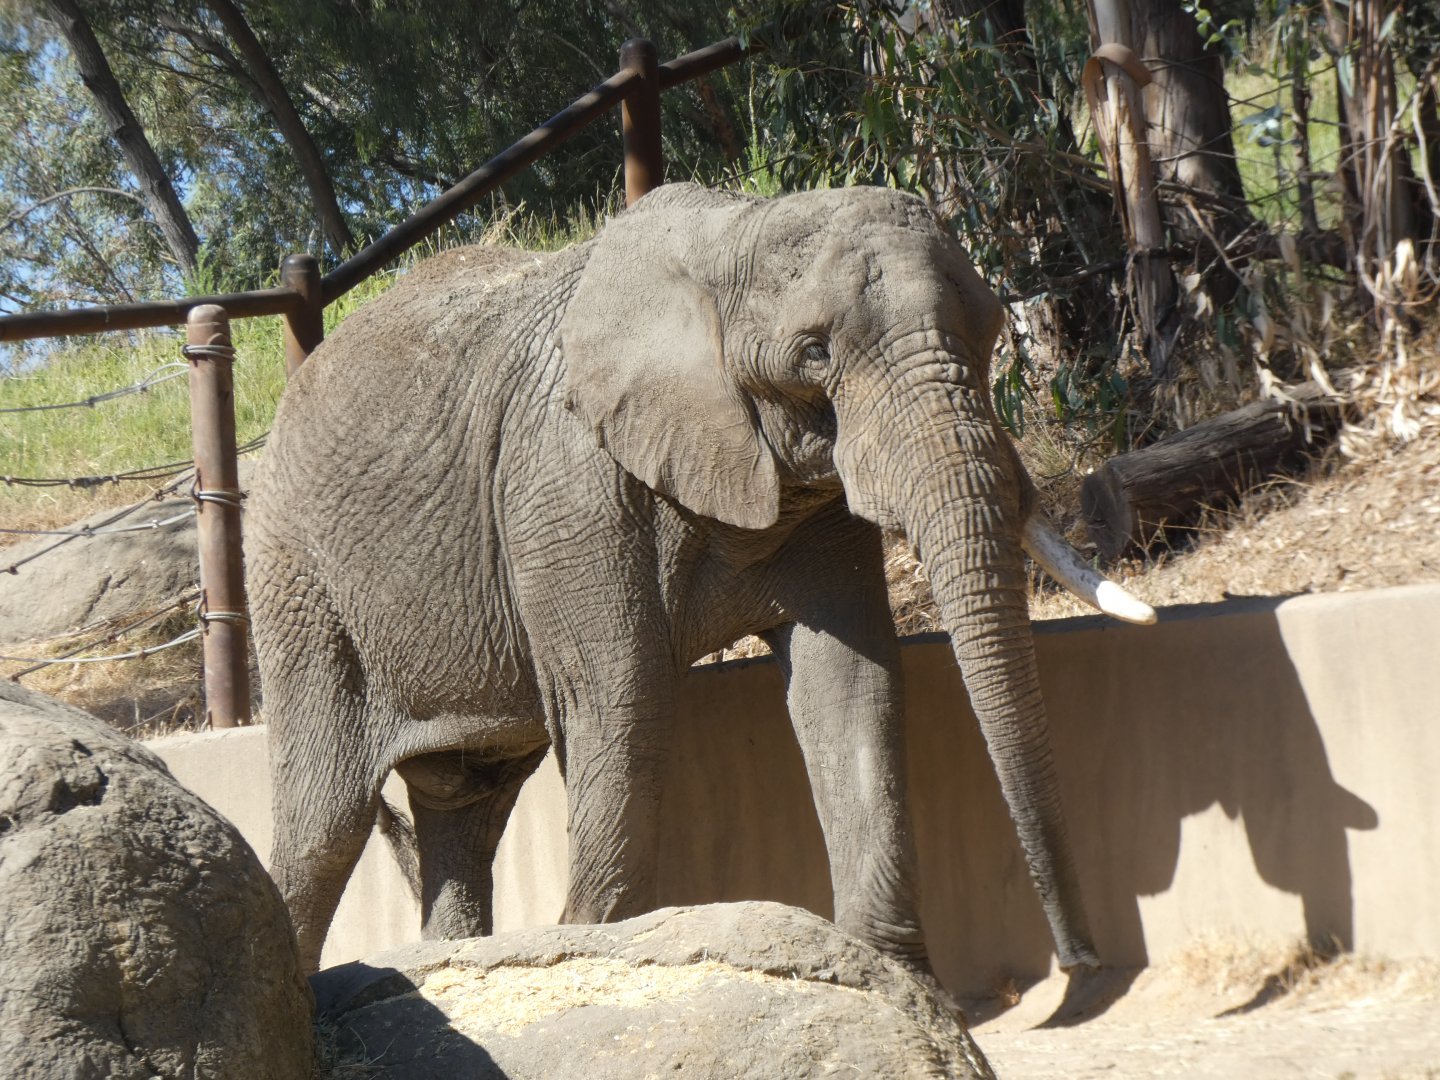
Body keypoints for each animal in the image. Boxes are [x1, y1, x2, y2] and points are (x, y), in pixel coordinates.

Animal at [246, 183, 1154, 977]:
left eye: (995, 328)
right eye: (815, 352)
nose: (1082, 961)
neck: (737, 234)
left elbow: (850, 682)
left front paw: (896, 984)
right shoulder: (568, 487)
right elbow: (623, 701)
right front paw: (595, 944)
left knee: (465, 799)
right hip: (297, 579)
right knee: (325, 823)